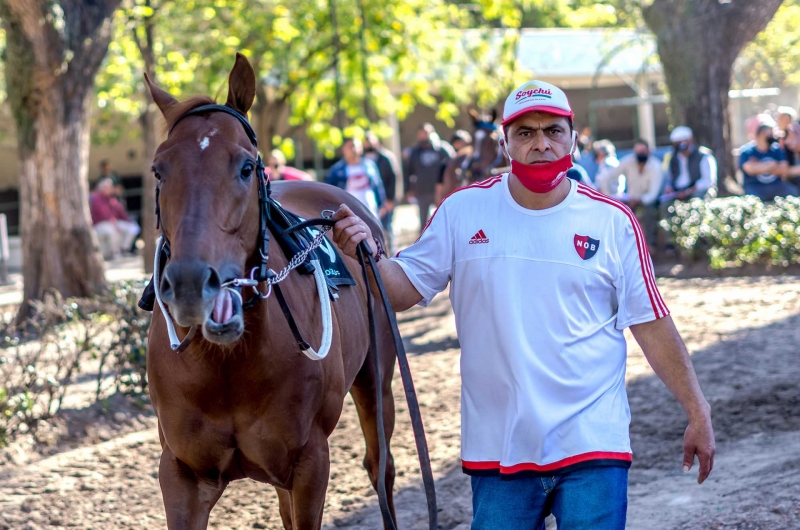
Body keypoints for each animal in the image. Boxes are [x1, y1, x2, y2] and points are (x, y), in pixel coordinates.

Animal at [145, 54, 398, 528]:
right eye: (158, 170)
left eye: (246, 167)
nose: (190, 284)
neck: (229, 364)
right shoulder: (181, 472)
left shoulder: (310, 462)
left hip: (377, 378)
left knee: (381, 466)